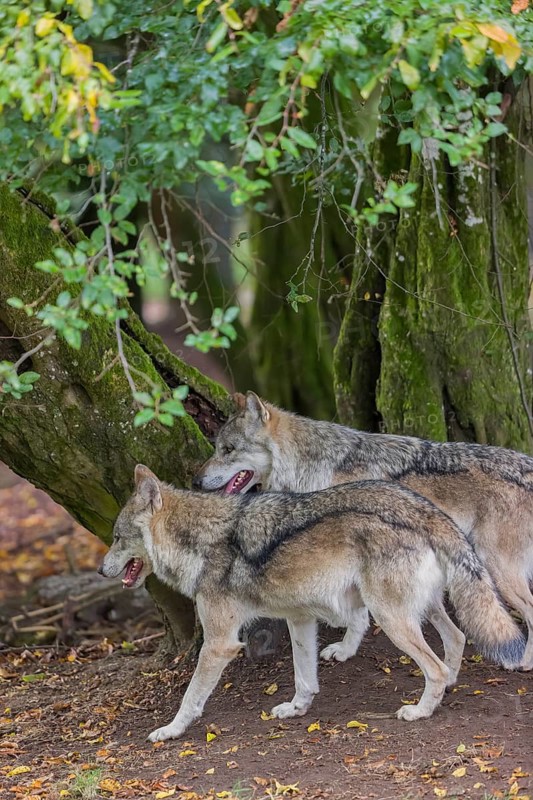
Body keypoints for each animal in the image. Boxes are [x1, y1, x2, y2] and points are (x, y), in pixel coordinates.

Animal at [99, 464, 524, 742]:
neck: (201, 541)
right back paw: (449, 685)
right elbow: (305, 677)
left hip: (391, 618)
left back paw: (420, 710)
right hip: (423, 609)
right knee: (456, 640)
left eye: (117, 537)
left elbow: (191, 697)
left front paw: (170, 730)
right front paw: (296, 709)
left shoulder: (220, 643)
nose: (102, 570)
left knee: (434, 666)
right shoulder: (299, 619)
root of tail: (425, 509)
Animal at [193, 392, 533, 670]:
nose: (195, 481)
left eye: (228, 449)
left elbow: (356, 616)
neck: (307, 465)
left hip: (496, 567)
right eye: (217, 448)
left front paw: (346, 648)